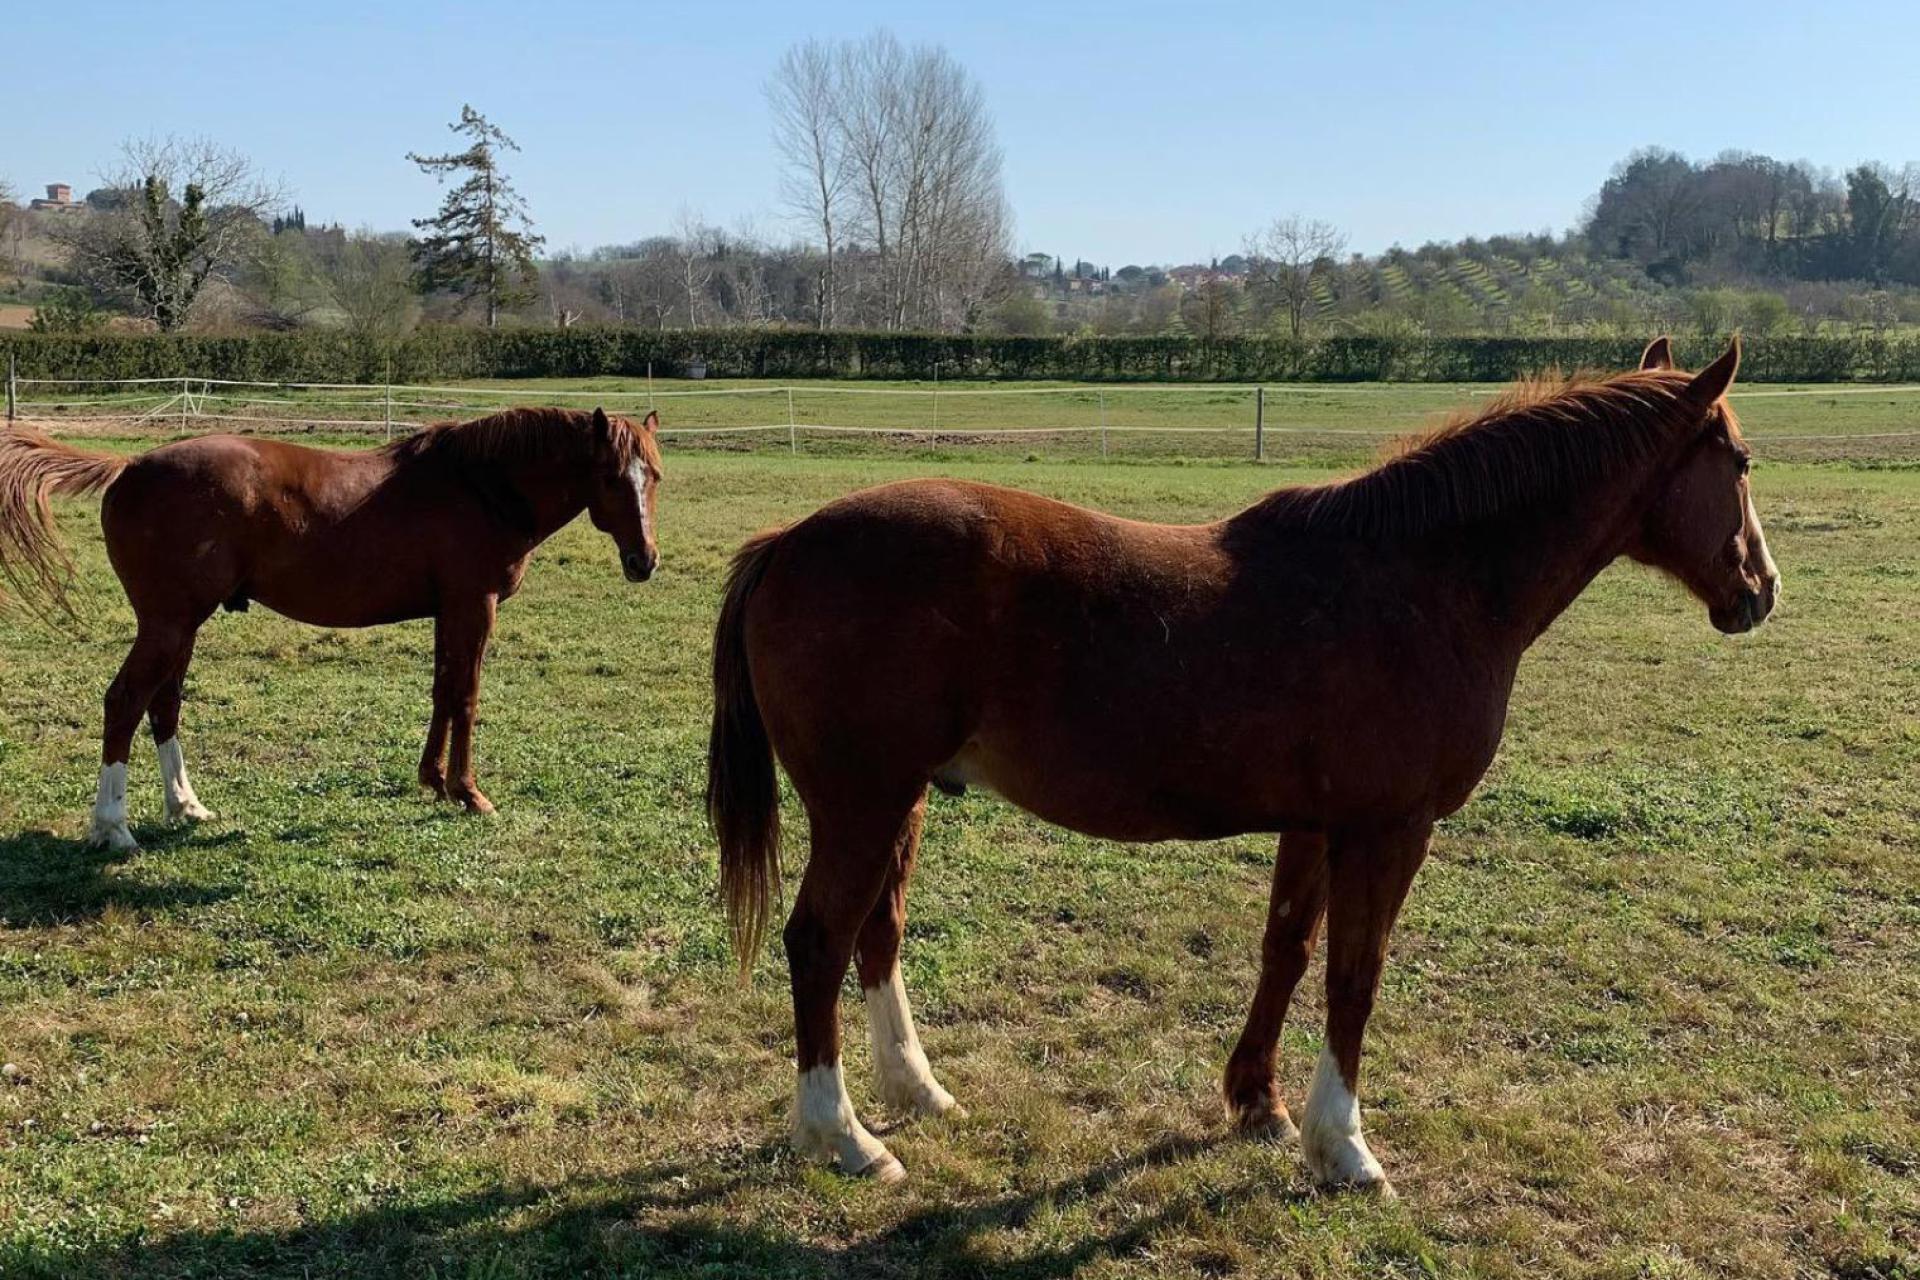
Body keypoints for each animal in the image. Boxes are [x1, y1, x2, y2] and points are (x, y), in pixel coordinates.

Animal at [0, 408, 664, 852]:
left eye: (652, 476)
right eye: (611, 477)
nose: (644, 561)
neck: (478, 486)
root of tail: (128, 466)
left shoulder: (449, 611)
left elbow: (442, 693)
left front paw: (432, 781)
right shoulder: (475, 607)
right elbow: (467, 697)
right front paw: (469, 792)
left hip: (181, 627)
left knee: (163, 706)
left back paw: (185, 806)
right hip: (167, 624)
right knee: (124, 702)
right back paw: (113, 828)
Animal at [714, 337, 1774, 1189]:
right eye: (1741, 460)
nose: (1760, 589)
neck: (1428, 580)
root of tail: (790, 541)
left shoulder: (1315, 823)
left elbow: (1287, 951)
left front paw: (1257, 1103)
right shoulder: (1388, 831)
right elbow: (1355, 975)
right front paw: (1344, 1148)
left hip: (901, 802)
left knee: (876, 935)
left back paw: (917, 1092)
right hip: (862, 803)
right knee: (818, 942)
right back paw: (843, 1136)